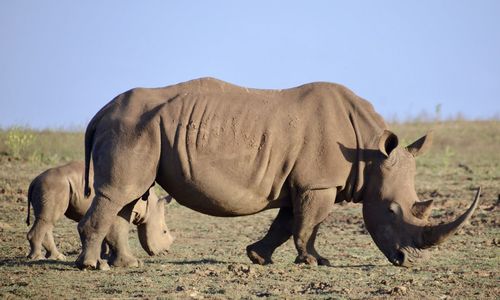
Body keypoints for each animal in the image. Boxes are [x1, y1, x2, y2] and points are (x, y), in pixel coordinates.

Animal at [28, 162, 176, 268]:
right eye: (164, 232)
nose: (166, 252)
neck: (149, 207)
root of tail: (33, 182)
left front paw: (103, 255)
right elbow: (115, 232)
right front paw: (107, 256)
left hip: (52, 186)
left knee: (47, 221)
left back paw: (57, 257)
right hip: (54, 186)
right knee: (47, 219)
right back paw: (38, 258)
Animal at [76, 77, 478, 270]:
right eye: (393, 210)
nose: (411, 262)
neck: (369, 152)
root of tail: (100, 112)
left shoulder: (302, 182)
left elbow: (287, 223)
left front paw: (258, 257)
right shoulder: (319, 183)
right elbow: (309, 224)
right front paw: (315, 262)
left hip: (140, 128)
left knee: (127, 196)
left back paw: (127, 264)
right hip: (131, 127)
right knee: (118, 192)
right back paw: (94, 267)